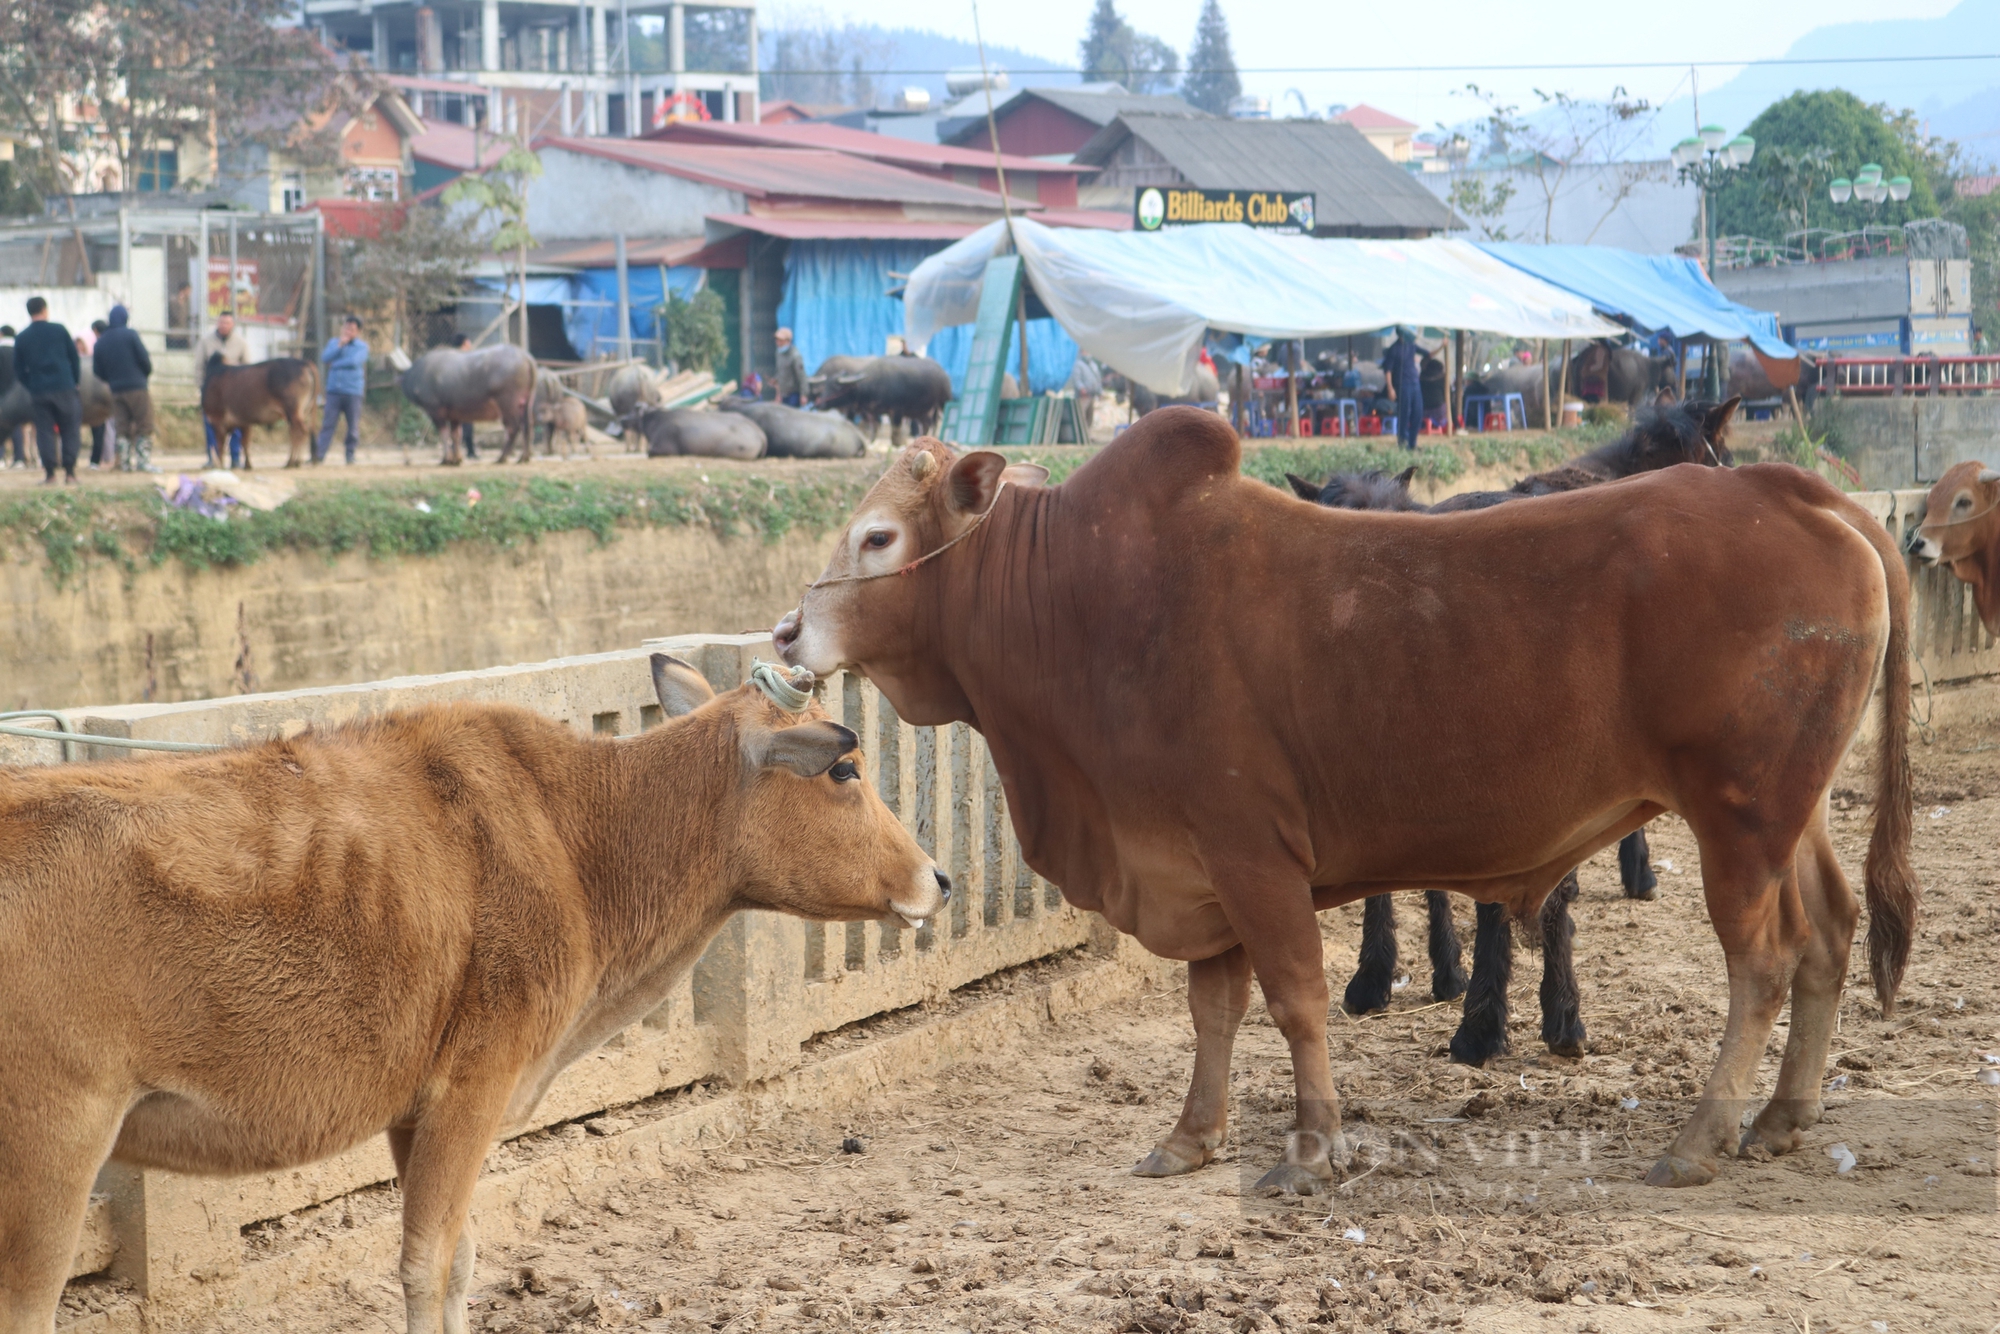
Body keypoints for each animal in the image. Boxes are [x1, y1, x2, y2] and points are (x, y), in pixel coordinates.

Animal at [0, 656, 948, 1334]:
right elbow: (426, 1263)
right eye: (845, 771)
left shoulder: (411, 1109)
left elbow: (457, 1258)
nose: (937, 879)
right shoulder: (473, 1085)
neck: (582, 837)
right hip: (52, 1148)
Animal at [402, 342, 540, 468]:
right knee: (527, 425)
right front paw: (457, 459)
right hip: (527, 402)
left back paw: (502, 457)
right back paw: (524, 457)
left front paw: (446, 460)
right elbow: (456, 435)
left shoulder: (434, 411)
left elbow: (444, 434)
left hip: (507, 404)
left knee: (513, 428)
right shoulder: (454, 415)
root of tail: (526, 358)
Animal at [780, 410, 1920, 1200]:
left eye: (877, 538)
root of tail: (1795, 490)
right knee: (1829, 933)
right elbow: (1213, 1011)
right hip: (1791, 811)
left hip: (1737, 817)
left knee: (1762, 961)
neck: (1080, 598)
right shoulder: (1194, 870)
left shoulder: (1251, 858)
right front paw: (1191, 1137)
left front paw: (1311, 1149)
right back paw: (1782, 1114)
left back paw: (1699, 1138)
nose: (789, 632)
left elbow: (1294, 1000)